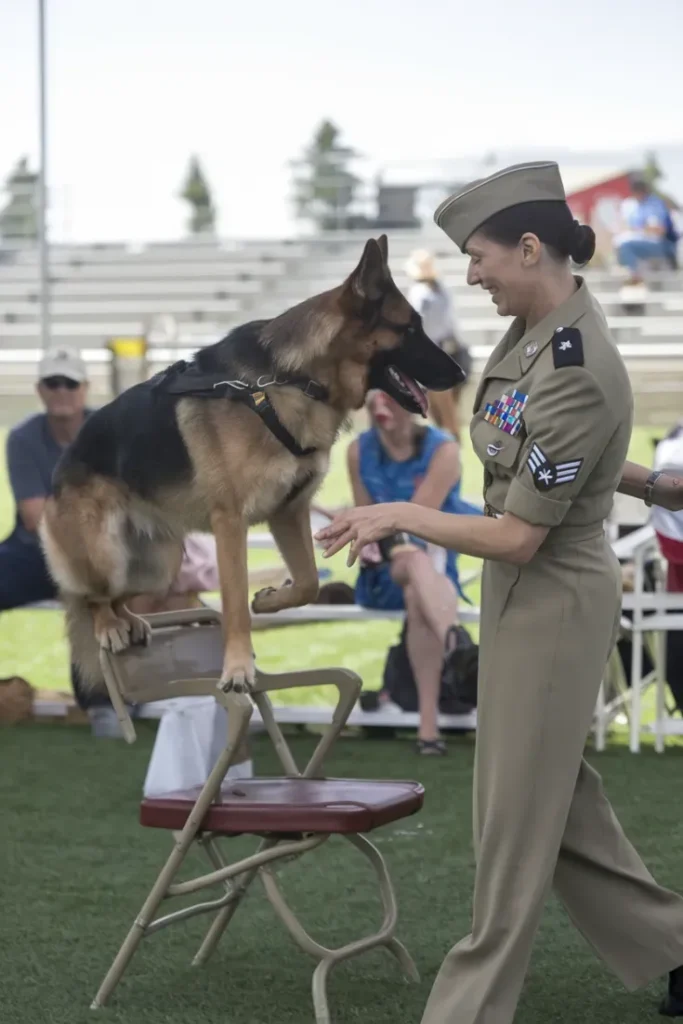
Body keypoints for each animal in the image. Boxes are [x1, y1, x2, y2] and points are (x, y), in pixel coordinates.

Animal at [41, 235, 464, 692]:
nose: (461, 374)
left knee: (118, 595)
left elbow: (308, 583)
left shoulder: (289, 511)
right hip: (106, 554)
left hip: (159, 565)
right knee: (91, 597)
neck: (293, 380)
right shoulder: (231, 524)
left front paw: (270, 599)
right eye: (411, 329)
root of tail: (62, 463)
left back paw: (129, 620)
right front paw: (238, 670)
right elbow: (234, 606)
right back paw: (109, 625)